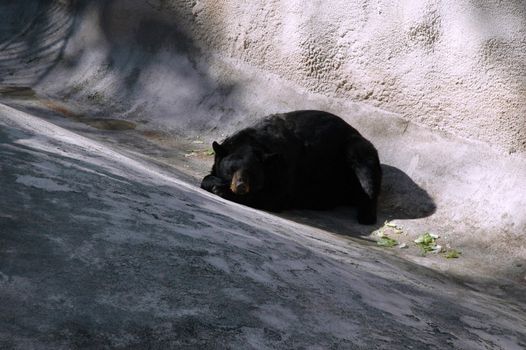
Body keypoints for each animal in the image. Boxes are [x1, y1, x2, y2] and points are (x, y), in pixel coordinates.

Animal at [202, 109, 384, 224]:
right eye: (231, 170)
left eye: (252, 173)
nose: (241, 186)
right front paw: (215, 182)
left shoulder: (285, 167)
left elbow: (274, 196)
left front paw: (223, 190)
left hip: (355, 149)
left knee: (366, 172)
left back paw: (365, 215)